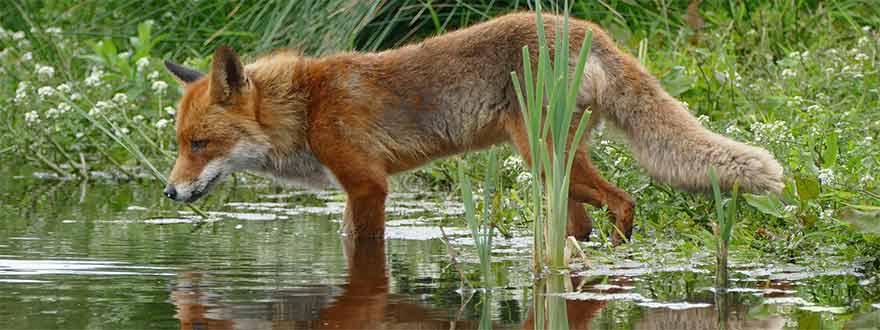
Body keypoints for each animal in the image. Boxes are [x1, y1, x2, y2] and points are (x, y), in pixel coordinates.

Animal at [162, 12, 780, 242]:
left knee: (625, 200)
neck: (306, 107)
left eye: (201, 144)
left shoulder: (368, 186)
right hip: (556, 171)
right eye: (180, 145)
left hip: (543, 157)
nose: (169, 192)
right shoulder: (355, 189)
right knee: (585, 221)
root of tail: (588, 29)